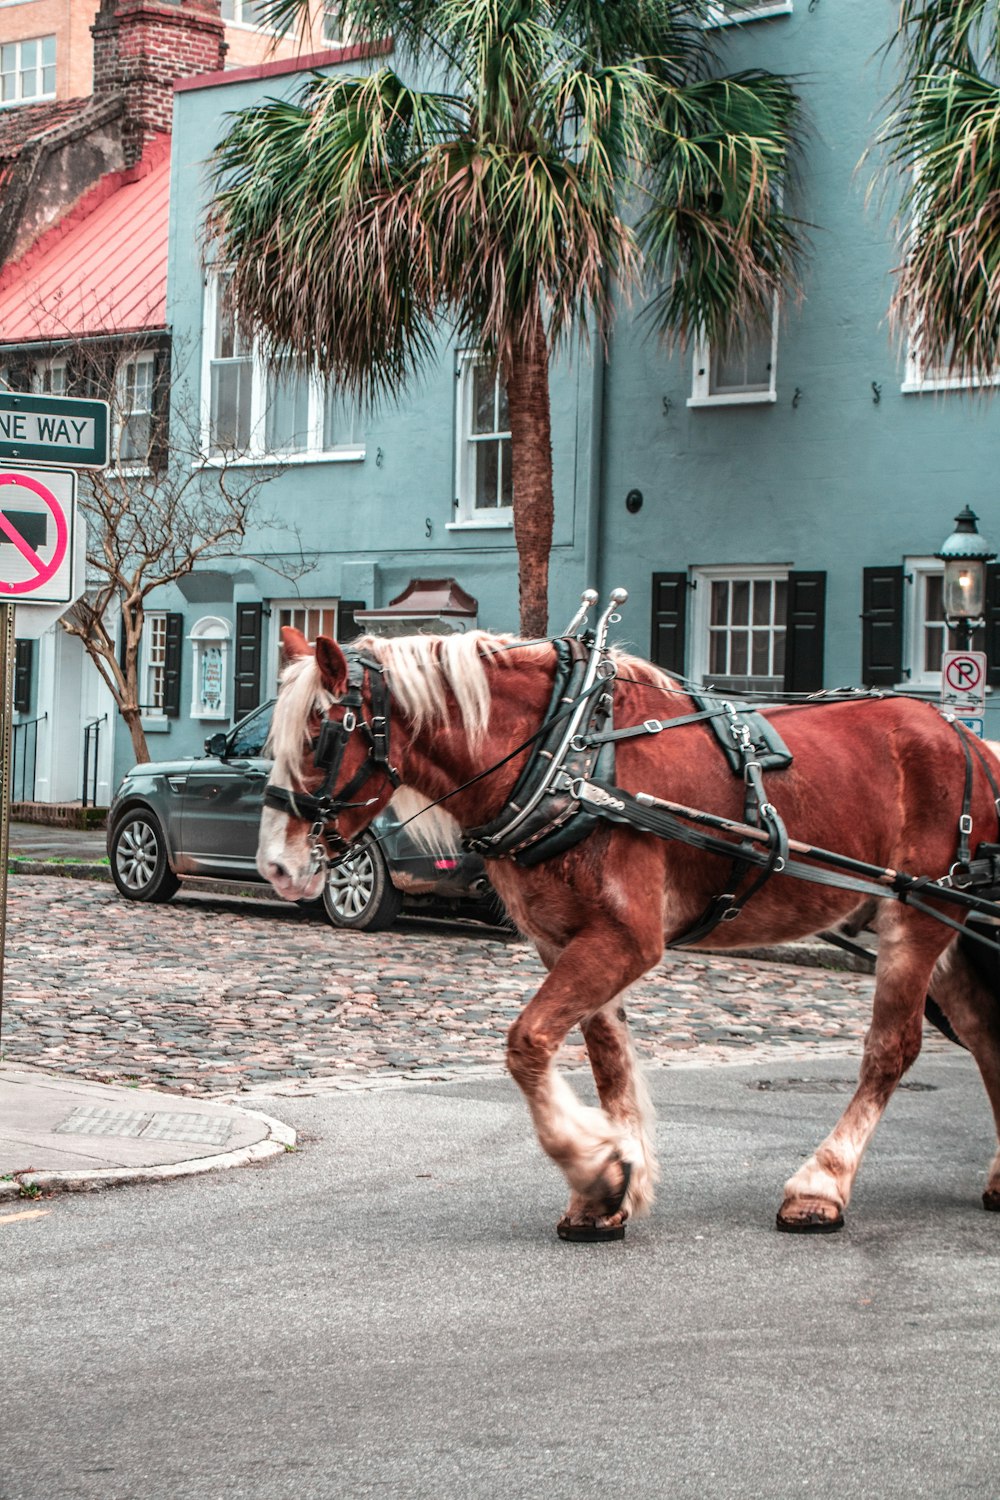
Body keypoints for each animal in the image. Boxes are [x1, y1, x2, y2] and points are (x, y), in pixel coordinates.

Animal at [256, 624, 1000, 1242]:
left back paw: (821, 1184)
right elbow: (606, 1061)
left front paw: (596, 1167)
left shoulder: (627, 939)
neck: (568, 754)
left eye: (321, 735)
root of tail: (969, 741)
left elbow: (527, 1043)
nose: (274, 867)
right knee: (985, 1034)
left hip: (915, 919)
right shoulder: (567, 940)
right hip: (940, 930)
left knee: (892, 1049)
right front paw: (609, 1186)